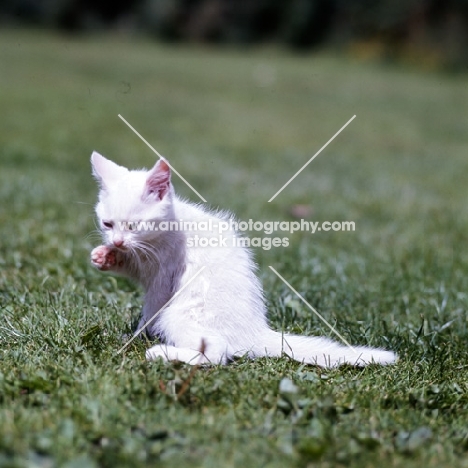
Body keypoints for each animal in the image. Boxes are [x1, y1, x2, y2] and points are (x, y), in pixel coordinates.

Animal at [89, 152, 396, 368]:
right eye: (107, 224)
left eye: (134, 226)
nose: (118, 241)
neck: (160, 236)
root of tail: (255, 332)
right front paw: (105, 257)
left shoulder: (164, 278)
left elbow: (150, 311)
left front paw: (135, 337)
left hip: (181, 313)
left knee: (218, 352)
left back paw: (163, 353)